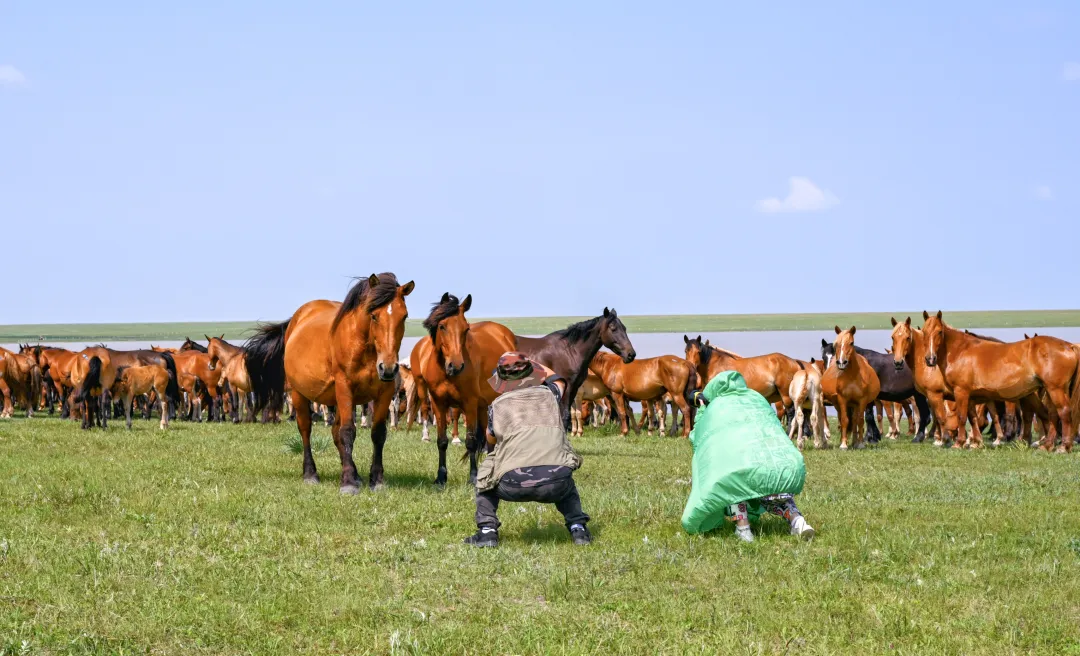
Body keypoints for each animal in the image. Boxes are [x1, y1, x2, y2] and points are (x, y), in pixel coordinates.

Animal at [247, 272, 414, 492]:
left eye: (404, 316)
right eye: (374, 315)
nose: (387, 368)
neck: (364, 348)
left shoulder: (384, 392)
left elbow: (378, 433)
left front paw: (376, 480)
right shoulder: (345, 387)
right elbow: (347, 431)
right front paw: (348, 483)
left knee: (335, 432)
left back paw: (355, 474)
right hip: (299, 394)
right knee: (306, 429)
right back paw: (311, 474)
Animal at [410, 296, 516, 484]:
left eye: (466, 329)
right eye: (442, 326)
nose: (456, 365)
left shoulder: (470, 404)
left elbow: (471, 442)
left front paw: (473, 476)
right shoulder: (439, 404)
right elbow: (441, 441)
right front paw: (441, 477)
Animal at [920, 311, 1080, 453]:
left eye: (939, 332)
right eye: (924, 332)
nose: (930, 359)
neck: (961, 351)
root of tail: (1069, 346)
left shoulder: (961, 392)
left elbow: (961, 417)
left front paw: (959, 443)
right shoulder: (970, 396)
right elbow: (973, 418)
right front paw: (976, 443)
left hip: (1056, 389)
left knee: (1064, 412)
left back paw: (1063, 447)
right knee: (1052, 414)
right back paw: (1047, 445)